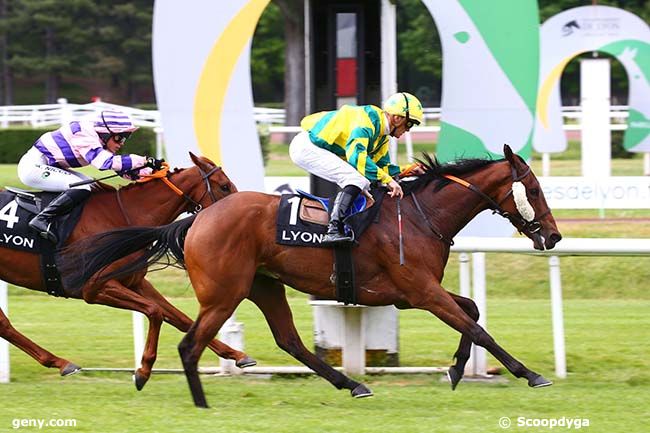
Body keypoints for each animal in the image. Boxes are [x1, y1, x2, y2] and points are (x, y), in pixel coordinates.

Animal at [0, 154, 253, 390]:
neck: (121, 216)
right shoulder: (94, 287)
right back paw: (61, 362)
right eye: (224, 186)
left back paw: (61, 363)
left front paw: (238, 355)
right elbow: (155, 312)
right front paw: (143, 371)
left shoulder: (135, 282)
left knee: (4, 325)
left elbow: (180, 318)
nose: (239, 210)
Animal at [60, 144, 560, 404]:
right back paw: (199, 401)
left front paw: (456, 369)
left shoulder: (413, 293)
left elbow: (471, 312)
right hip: (225, 292)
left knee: (290, 341)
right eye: (534, 189)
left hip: (263, 285)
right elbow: (478, 328)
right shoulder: (419, 291)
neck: (421, 216)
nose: (553, 237)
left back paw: (353, 383)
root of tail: (195, 220)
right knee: (191, 344)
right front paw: (529, 373)